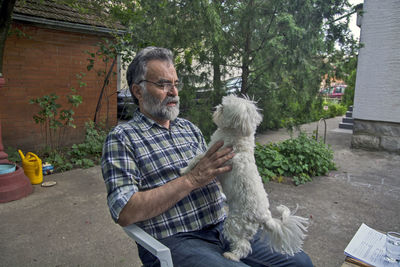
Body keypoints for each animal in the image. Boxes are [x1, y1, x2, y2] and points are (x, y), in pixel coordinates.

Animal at [183, 95, 308, 262]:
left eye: (223, 107)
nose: (216, 108)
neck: (239, 136)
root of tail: (265, 216)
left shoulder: (210, 155)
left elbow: (196, 159)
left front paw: (183, 170)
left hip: (234, 223)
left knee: (242, 245)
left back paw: (231, 255)